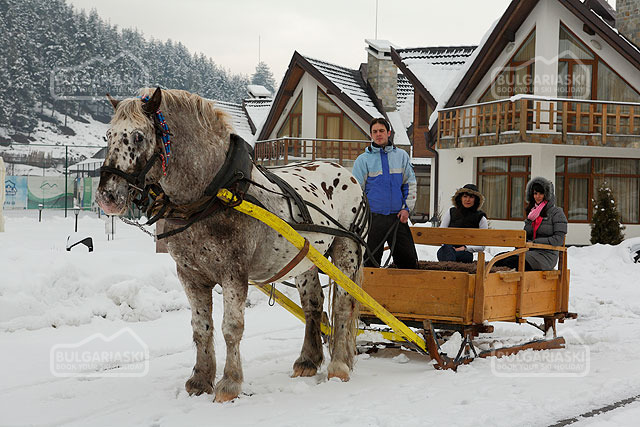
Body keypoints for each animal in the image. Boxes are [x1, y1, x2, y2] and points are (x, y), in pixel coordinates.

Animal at [93, 88, 368, 404]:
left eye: (138, 136)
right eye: (108, 135)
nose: (106, 196)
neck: (215, 193)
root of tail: (344, 171)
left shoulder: (233, 272)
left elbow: (231, 328)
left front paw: (229, 384)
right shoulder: (189, 275)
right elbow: (201, 328)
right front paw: (200, 380)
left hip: (347, 251)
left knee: (344, 306)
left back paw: (339, 365)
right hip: (305, 261)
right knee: (314, 305)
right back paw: (307, 361)